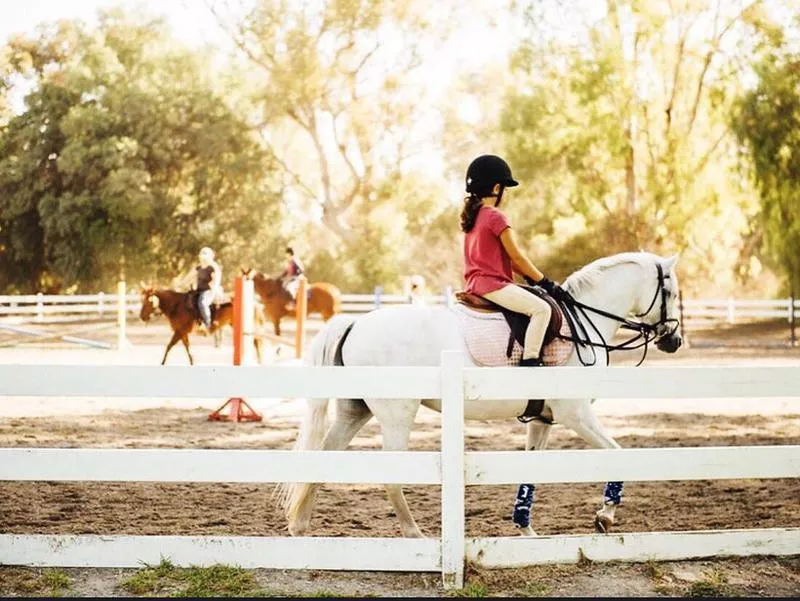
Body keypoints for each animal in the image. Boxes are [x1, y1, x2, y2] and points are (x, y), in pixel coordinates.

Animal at [280, 251, 680, 536]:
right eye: (671, 292)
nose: (674, 341)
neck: (583, 323)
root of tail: (355, 322)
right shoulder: (576, 414)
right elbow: (618, 455)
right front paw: (605, 517)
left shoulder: (543, 419)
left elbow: (530, 475)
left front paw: (526, 530)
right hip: (397, 413)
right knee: (391, 476)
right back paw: (414, 536)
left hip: (355, 410)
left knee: (323, 457)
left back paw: (300, 527)